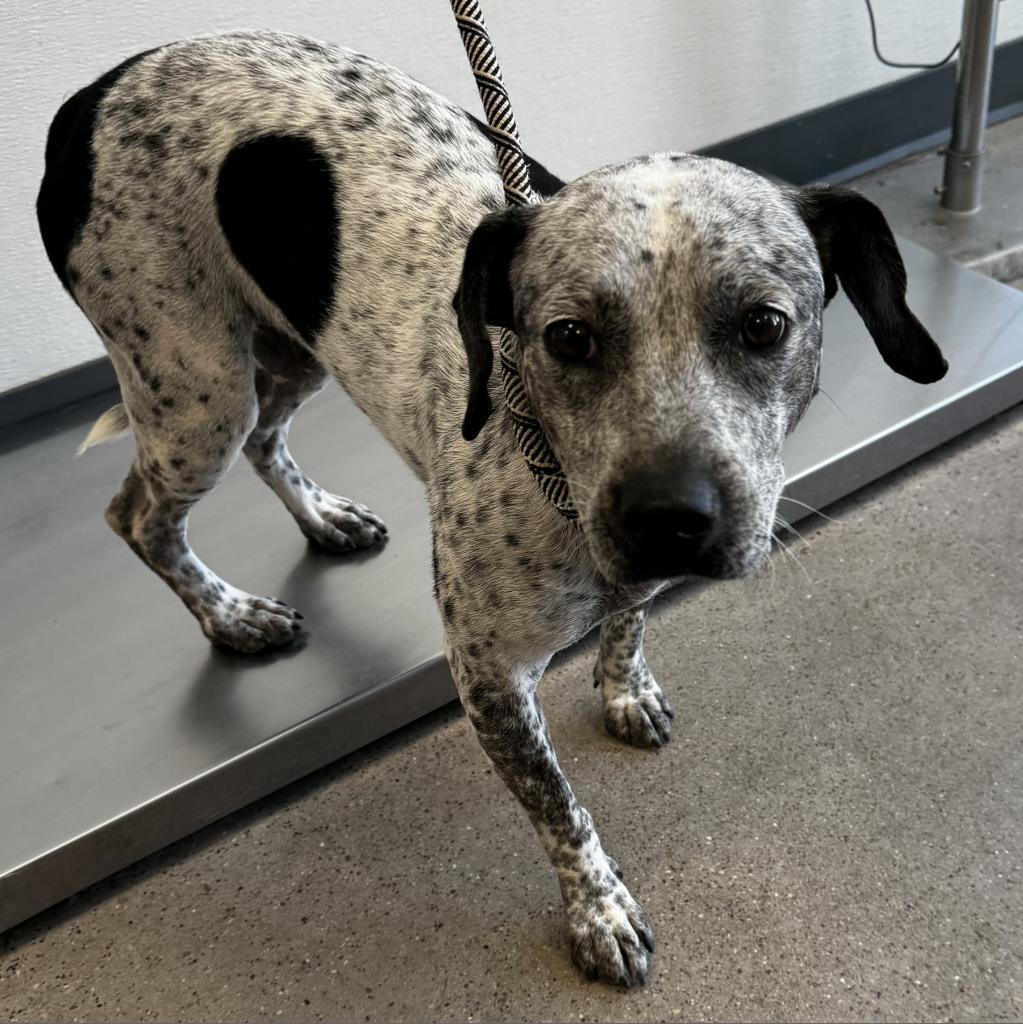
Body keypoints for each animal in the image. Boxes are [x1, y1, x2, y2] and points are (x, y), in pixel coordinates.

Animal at [36, 32, 946, 987]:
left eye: (765, 325)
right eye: (568, 337)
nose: (668, 518)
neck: (549, 472)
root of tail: (91, 92)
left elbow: (629, 622)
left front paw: (625, 685)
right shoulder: (489, 682)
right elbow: (560, 807)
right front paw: (597, 910)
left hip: (287, 352)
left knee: (264, 444)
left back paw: (323, 520)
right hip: (196, 394)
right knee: (138, 516)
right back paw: (229, 614)